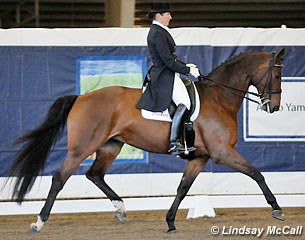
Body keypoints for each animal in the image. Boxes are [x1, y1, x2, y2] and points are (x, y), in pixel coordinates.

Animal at [7, 47, 284, 232]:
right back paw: (39, 222)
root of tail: (81, 97)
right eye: (277, 75)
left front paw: (170, 221)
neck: (219, 98)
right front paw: (276, 209)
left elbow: (183, 188)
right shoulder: (222, 152)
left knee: (95, 175)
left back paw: (120, 209)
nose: (275, 107)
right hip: (82, 148)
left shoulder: (199, 158)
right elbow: (256, 173)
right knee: (59, 178)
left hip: (111, 146)